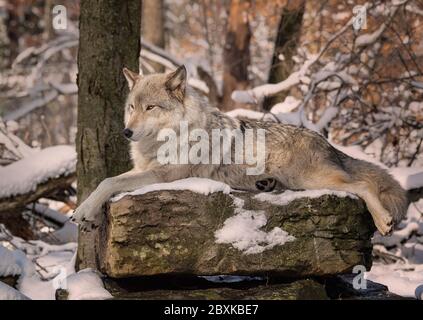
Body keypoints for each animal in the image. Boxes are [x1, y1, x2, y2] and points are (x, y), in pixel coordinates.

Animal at [72, 65, 408, 235]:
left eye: (150, 107)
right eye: (131, 107)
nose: (127, 132)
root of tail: (327, 142)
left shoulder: (163, 176)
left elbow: (110, 181)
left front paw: (83, 212)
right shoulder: (142, 169)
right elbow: (107, 181)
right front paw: (89, 215)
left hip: (308, 180)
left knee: (362, 185)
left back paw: (383, 221)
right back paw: (266, 184)